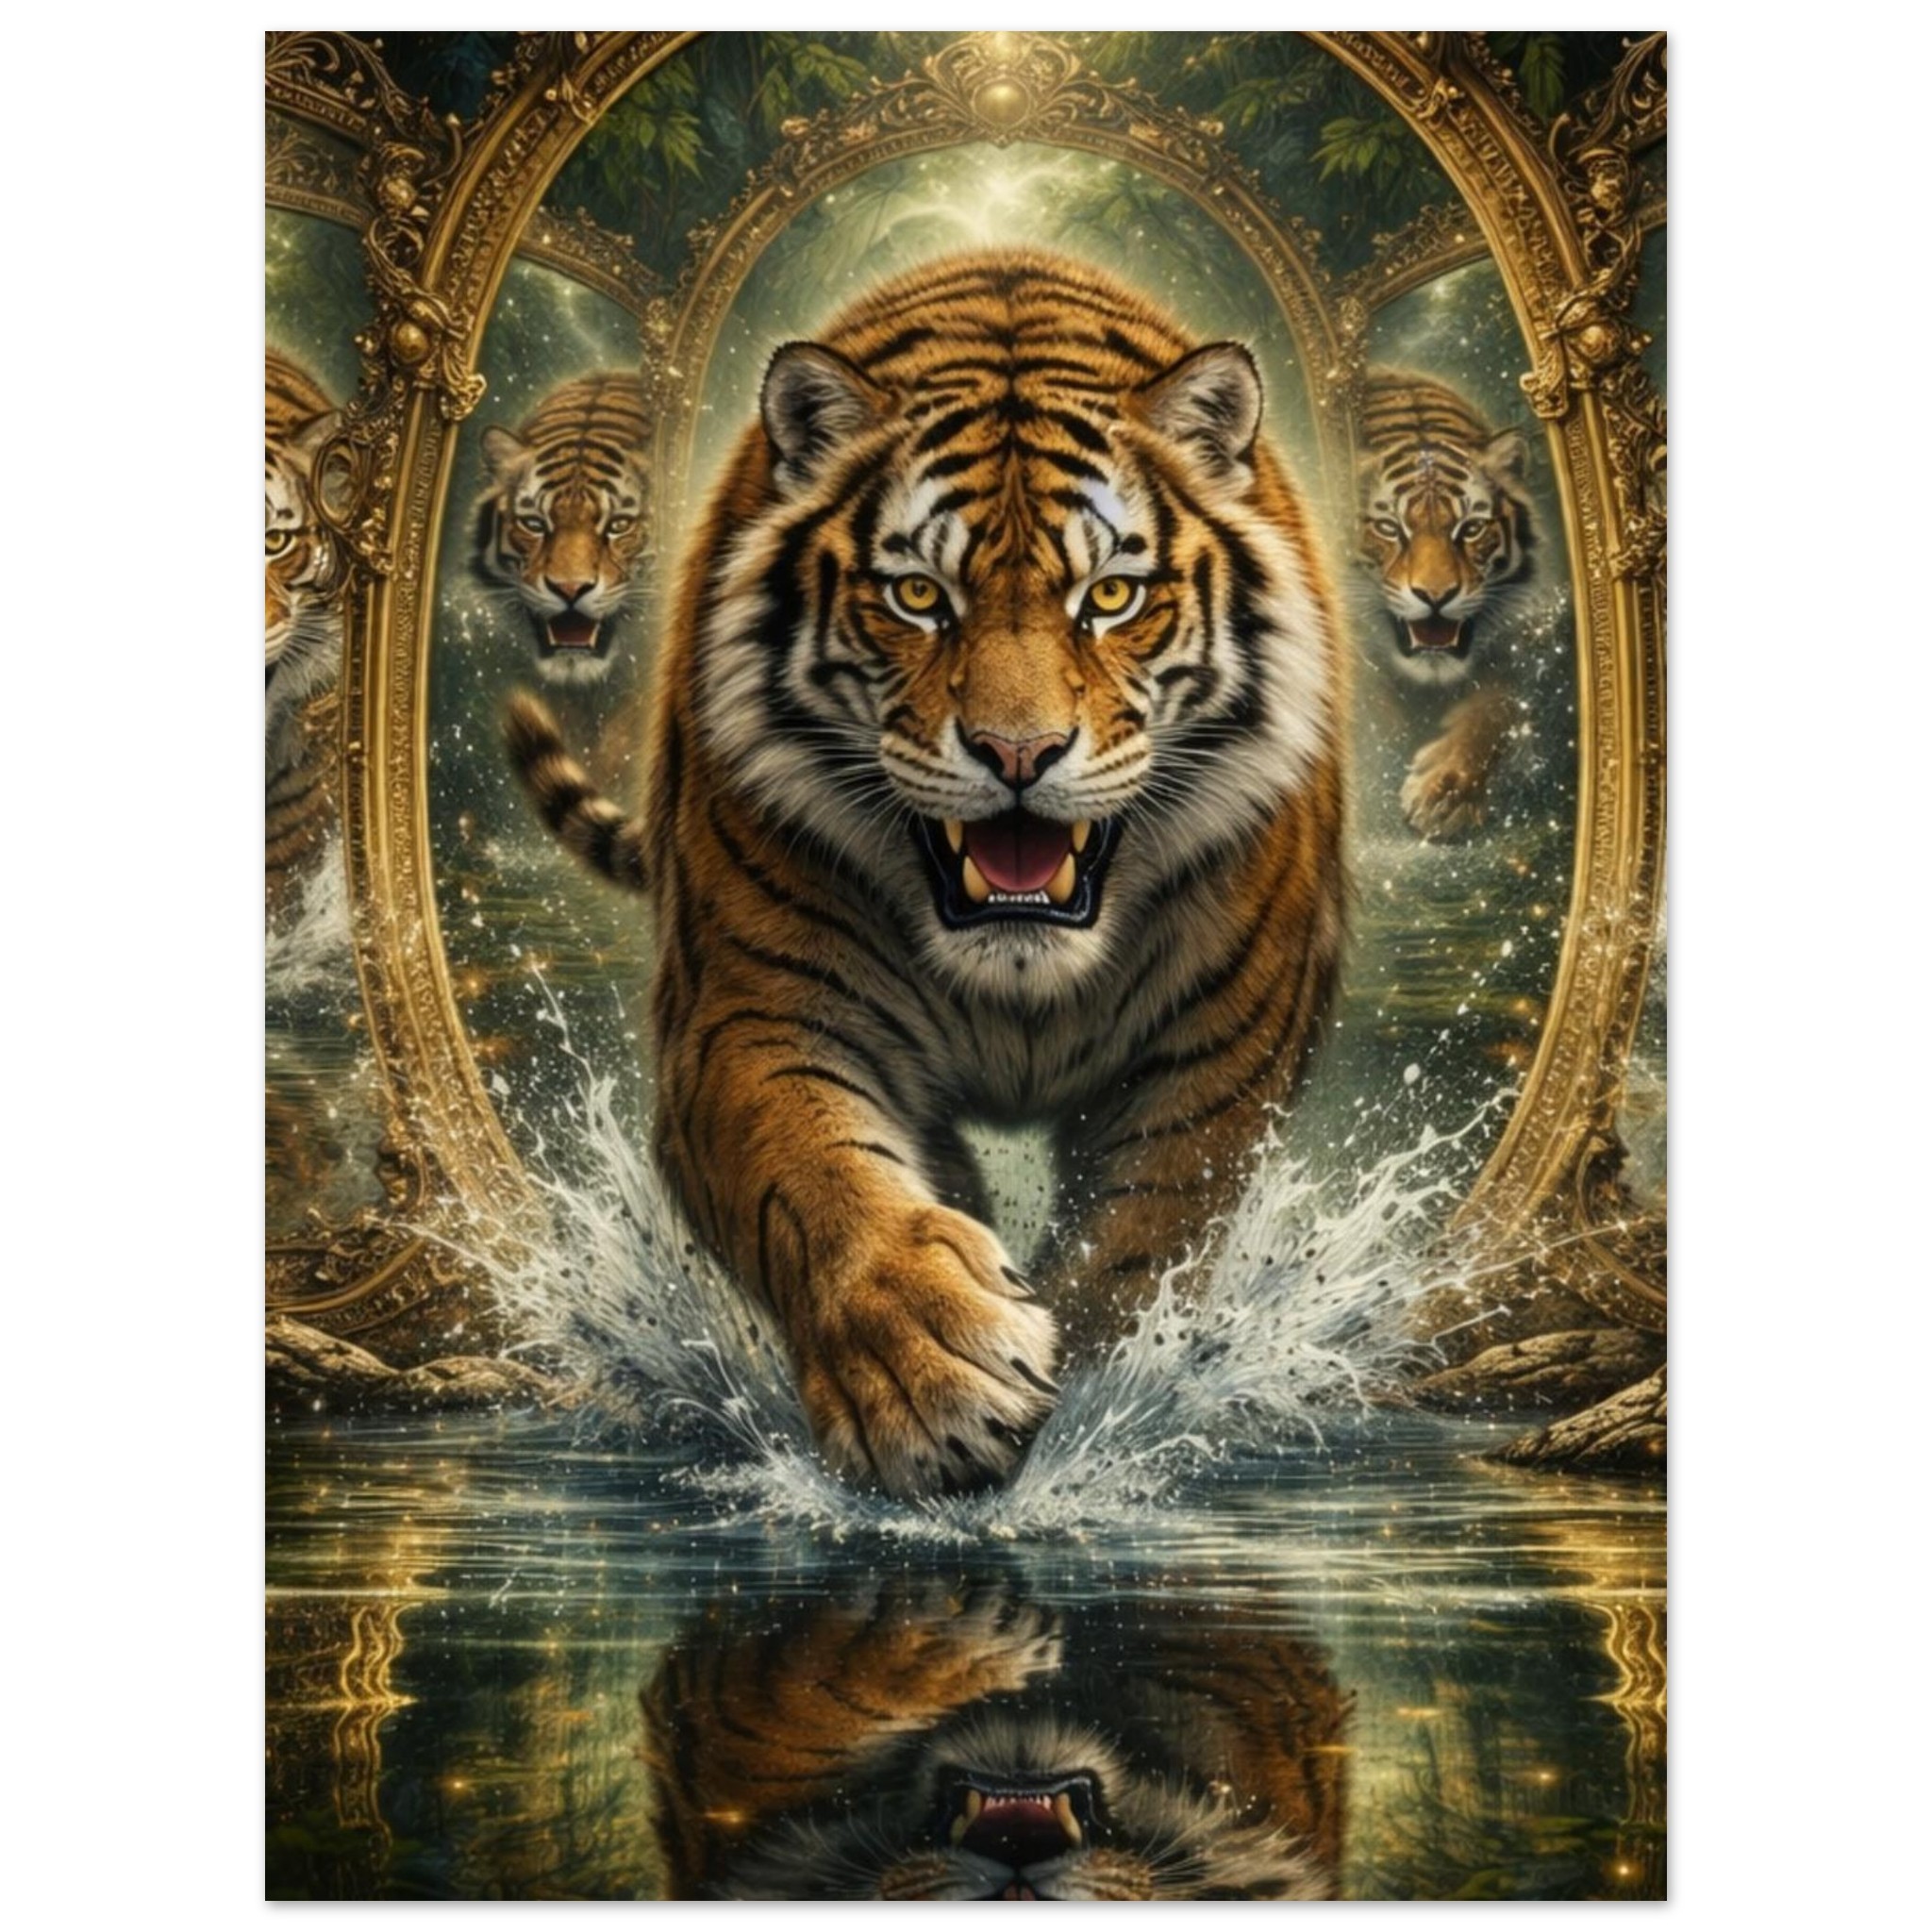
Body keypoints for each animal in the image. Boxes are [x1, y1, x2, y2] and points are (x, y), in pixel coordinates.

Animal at [507, 250, 1348, 1500]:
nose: (1016, 753)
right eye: (917, 597)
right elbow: (815, 1174)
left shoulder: (1217, 1058)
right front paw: (928, 1371)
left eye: (1109, 598)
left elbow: (1140, 1240)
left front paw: (1092, 1405)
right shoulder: (747, 1016)